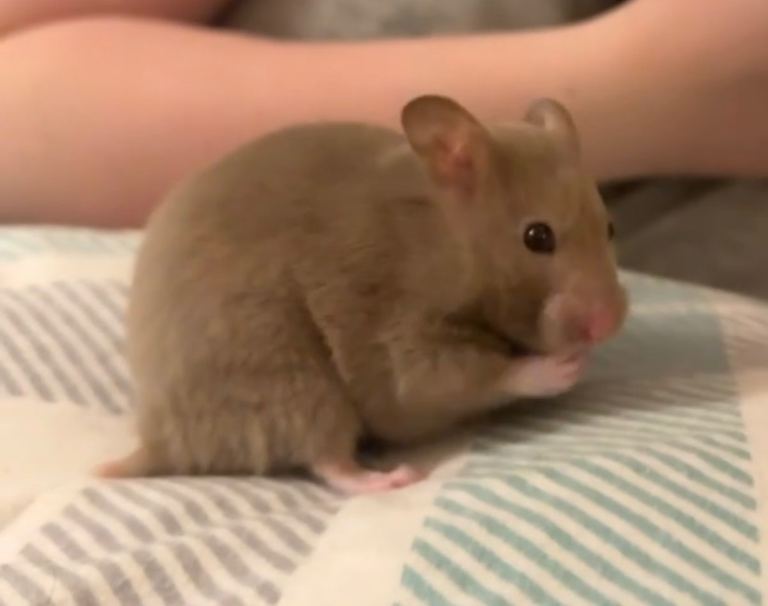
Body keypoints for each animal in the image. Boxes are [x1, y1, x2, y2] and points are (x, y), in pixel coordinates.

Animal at [97, 95, 627, 494]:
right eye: (538, 237)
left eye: (610, 228)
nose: (608, 326)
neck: (445, 238)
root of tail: (159, 442)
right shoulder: (401, 333)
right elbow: (467, 374)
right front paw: (566, 366)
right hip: (289, 375)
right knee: (326, 458)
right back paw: (392, 478)